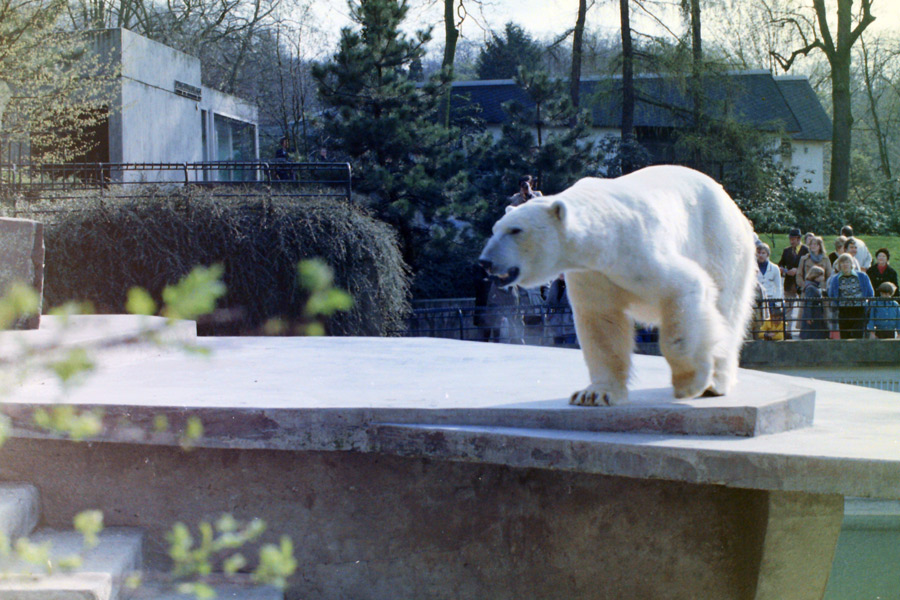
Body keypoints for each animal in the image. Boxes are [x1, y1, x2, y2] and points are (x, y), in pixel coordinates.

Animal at [478, 166, 760, 406]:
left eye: (516, 230)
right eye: (495, 229)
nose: (485, 261)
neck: (604, 239)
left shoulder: (638, 252)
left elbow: (683, 290)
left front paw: (688, 383)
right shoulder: (591, 273)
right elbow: (602, 323)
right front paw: (595, 394)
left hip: (722, 244)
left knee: (725, 309)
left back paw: (715, 383)